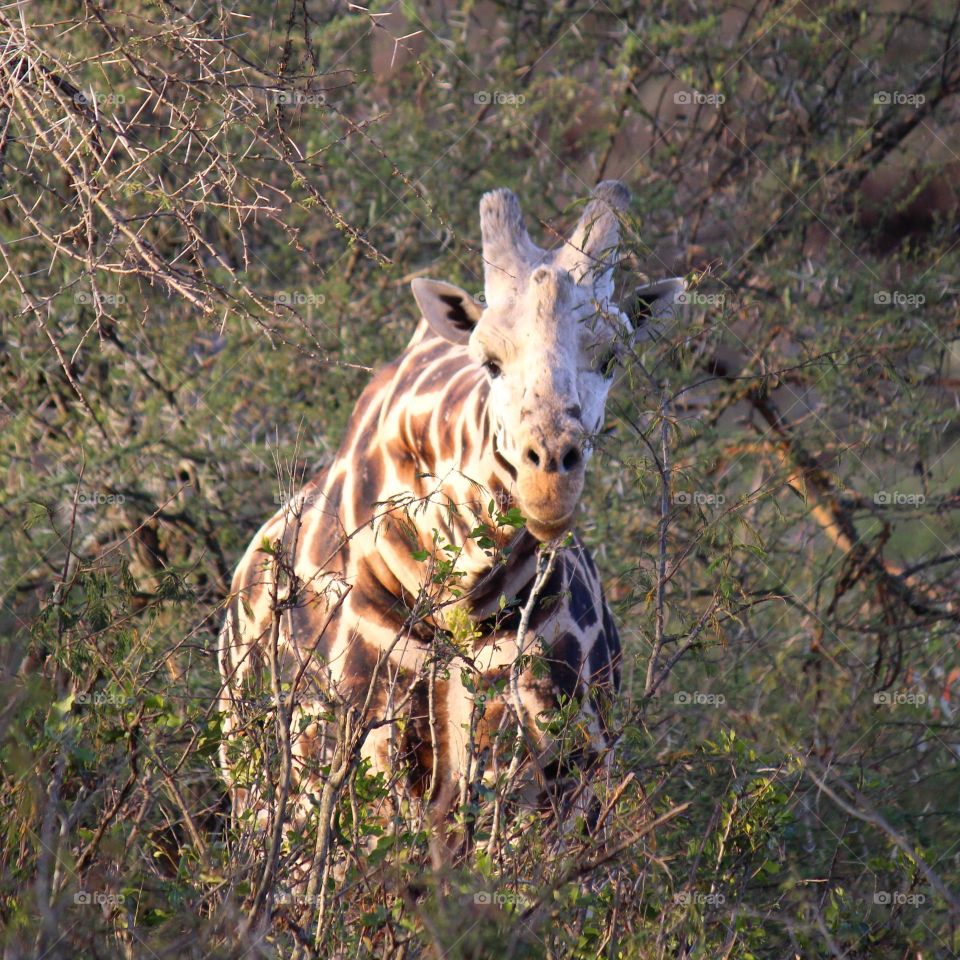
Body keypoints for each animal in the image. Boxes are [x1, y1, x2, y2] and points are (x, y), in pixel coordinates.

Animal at [218, 184, 684, 860]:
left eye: (612, 358)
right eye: (489, 360)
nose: (551, 481)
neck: (458, 596)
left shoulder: (552, 775)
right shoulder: (361, 764)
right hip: (261, 787)